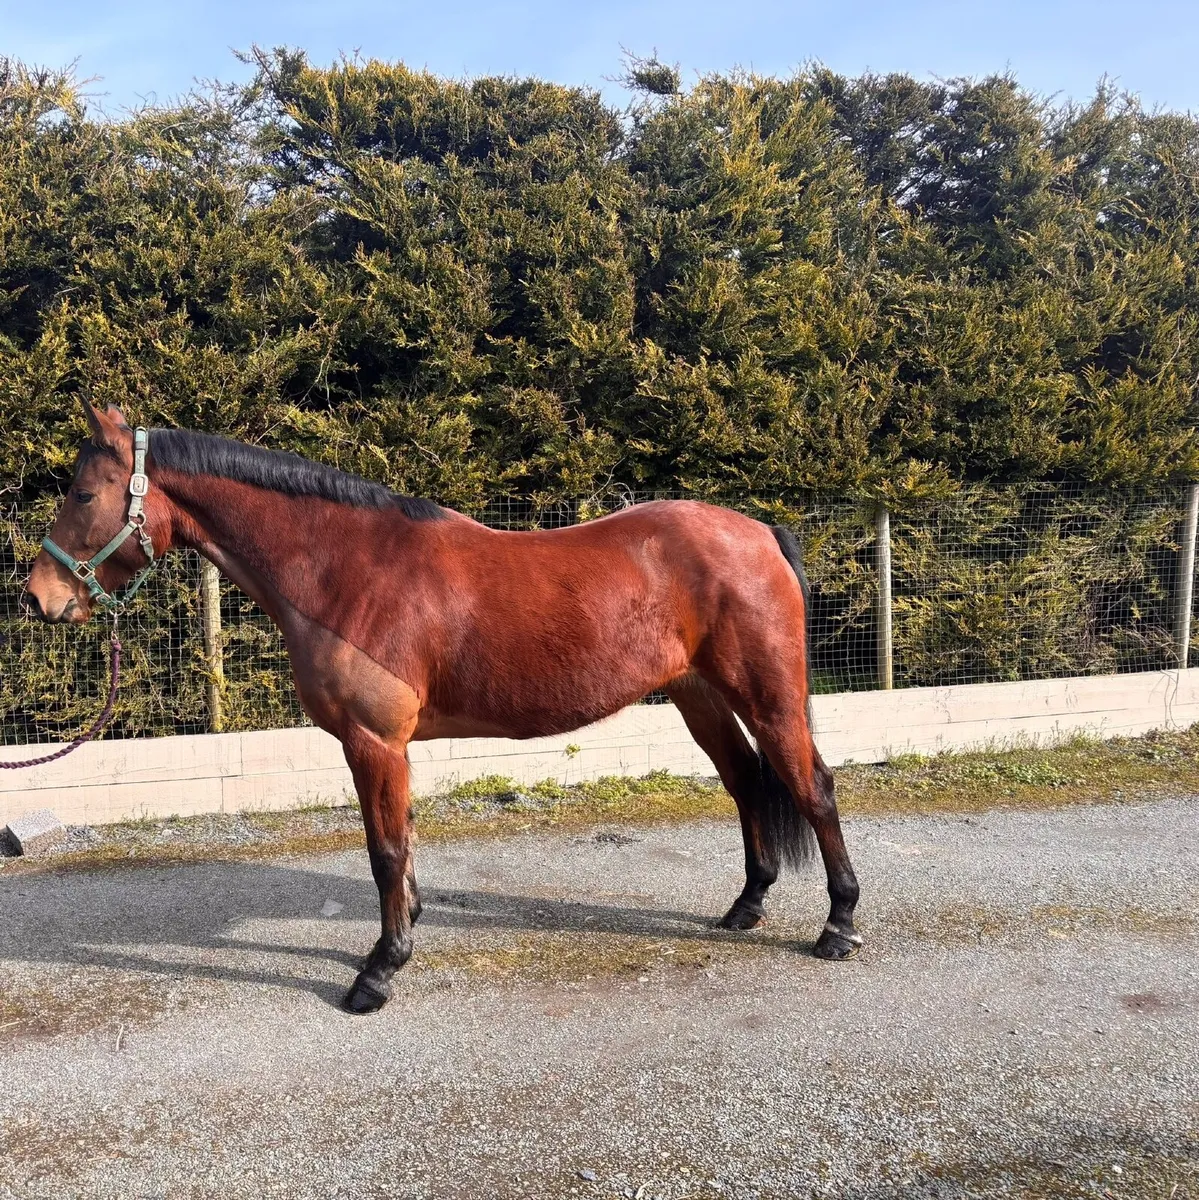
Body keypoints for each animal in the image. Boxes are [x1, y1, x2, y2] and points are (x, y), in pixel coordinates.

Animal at [22, 403, 862, 1013]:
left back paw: (838, 925)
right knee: (746, 784)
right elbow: (400, 846)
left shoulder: (372, 741)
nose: (39, 598)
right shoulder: (386, 746)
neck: (345, 569)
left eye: (83, 493)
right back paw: (745, 907)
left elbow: (385, 851)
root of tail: (759, 532)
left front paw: (378, 972)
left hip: (768, 696)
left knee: (811, 789)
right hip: (699, 697)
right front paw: (408, 927)